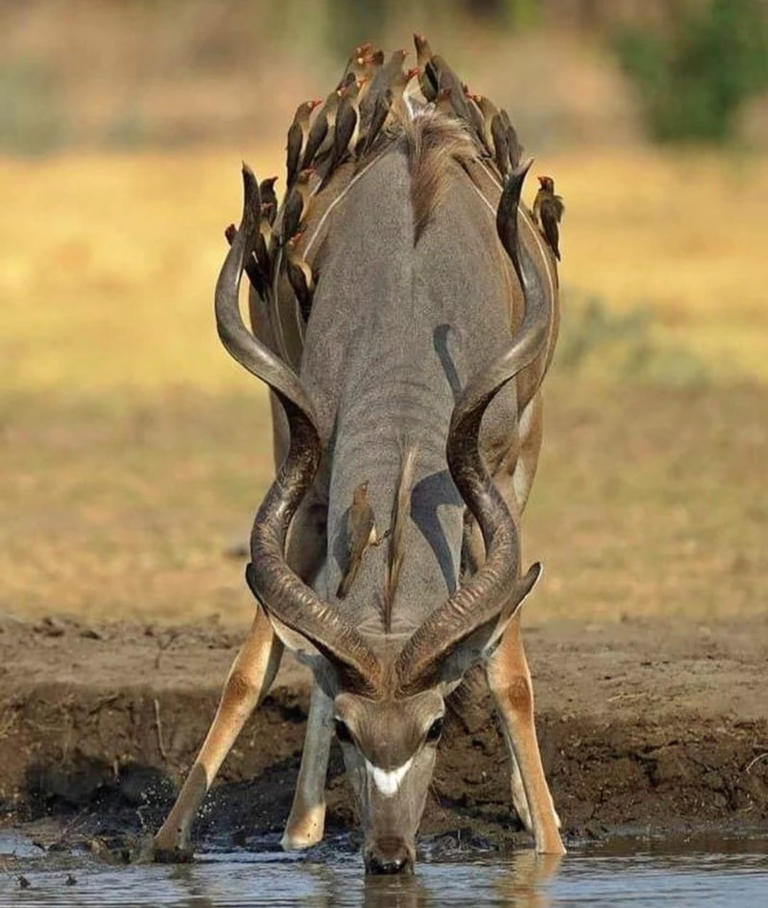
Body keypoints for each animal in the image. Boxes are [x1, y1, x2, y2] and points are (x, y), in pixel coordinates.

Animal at [153, 39, 565, 873]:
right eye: (350, 729)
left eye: (434, 726)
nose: (389, 856)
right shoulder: (306, 471)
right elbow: (258, 661)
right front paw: (177, 835)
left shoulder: (499, 475)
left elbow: (505, 665)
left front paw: (548, 835)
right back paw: (300, 828)